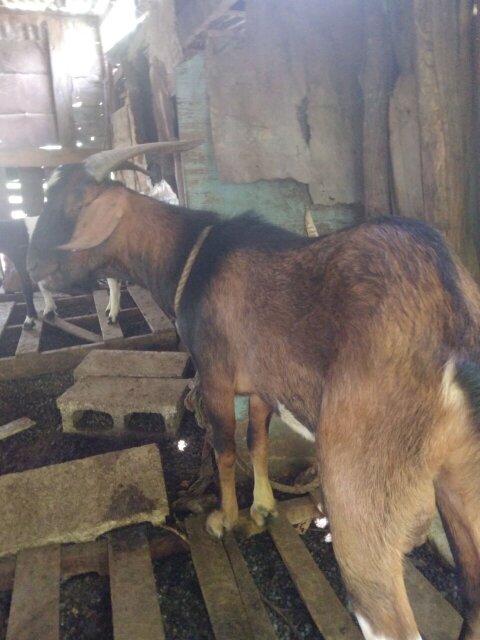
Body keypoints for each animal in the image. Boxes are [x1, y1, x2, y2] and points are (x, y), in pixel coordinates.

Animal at [26, 141, 480, 640]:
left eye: (76, 203)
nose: (31, 264)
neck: (192, 259)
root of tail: (454, 325)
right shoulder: (262, 382)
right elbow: (257, 440)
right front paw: (263, 509)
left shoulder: (216, 375)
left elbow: (226, 447)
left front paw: (224, 520)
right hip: (463, 484)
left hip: (363, 491)